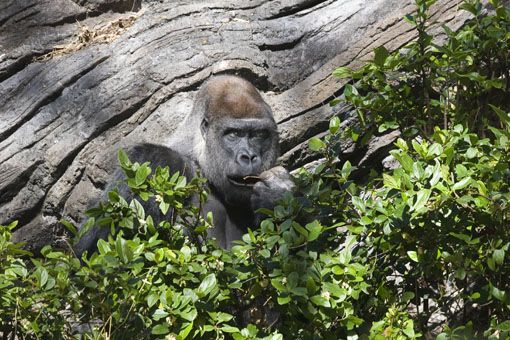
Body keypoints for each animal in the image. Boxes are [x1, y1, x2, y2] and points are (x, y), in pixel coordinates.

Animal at [73, 75, 292, 255]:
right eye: (233, 134)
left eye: (259, 135)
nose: (249, 156)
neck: (199, 163)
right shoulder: (152, 162)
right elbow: (92, 253)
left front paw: (278, 195)